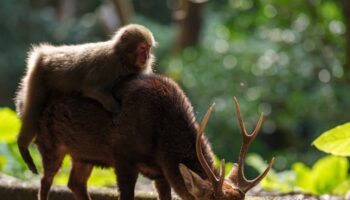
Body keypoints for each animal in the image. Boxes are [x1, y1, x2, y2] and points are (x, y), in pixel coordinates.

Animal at [15, 23, 156, 173]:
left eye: (149, 48)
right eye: (142, 48)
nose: (147, 56)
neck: (122, 58)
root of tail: (45, 53)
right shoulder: (108, 64)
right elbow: (91, 89)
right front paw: (115, 107)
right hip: (38, 74)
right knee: (34, 108)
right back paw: (22, 144)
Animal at [15, 74, 274, 200]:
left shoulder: (161, 171)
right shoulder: (123, 156)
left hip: (83, 154)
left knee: (75, 183)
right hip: (49, 142)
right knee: (45, 182)